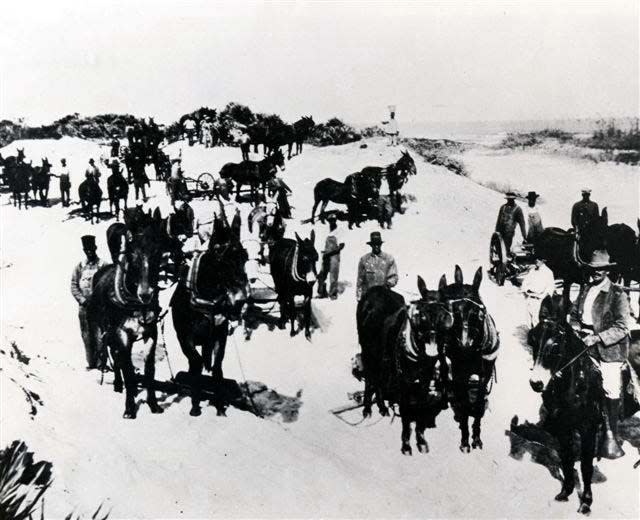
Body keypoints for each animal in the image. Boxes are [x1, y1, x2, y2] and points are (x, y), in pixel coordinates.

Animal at [90, 211, 166, 418]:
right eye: (132, 254)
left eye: (157, 251)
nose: (146, 294)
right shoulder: (121, 334)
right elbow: (129, 371)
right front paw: (130, 409)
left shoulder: (150, 333)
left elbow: (149, 370)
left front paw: (153, 405)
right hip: (106, 331)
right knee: (115, 357)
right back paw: (118, 385)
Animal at [171, 213, 249, 416]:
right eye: (221, 260)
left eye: (245, 257)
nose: (240, 300)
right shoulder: (184, 337)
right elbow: (196, 363)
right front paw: (195, 404)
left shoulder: (220, 335)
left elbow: (217, 366)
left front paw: (220, 406)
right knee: (194, 365)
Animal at [356, 278, 456, 452]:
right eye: (422, 315)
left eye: (443, 314)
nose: (433, 338)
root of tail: (374, 290)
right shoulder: (403, 379)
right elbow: (406, 409)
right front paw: (406, 443)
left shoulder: (425, 377)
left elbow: (421, 405)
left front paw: (420, 439)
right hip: (368, 350)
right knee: (370, 376)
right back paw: (367, 407)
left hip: (383, 357)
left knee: (379, 378)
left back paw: (382, 406)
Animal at [440, 266, 500, 452]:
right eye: (455, 312)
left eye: (480, 314)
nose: (464, 347)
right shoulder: (460, 373)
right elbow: (465, 403)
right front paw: (465, 439)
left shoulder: (485, 374)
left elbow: (479, 402)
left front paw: (477, 436)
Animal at [528, 294, 608, 512]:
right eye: (532, 339)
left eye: (556, 346)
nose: (536, 383)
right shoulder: (563, 427)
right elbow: (567, 459)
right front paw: (566, 491)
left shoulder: (588, 428)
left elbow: (586, 465)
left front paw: (586, 501)